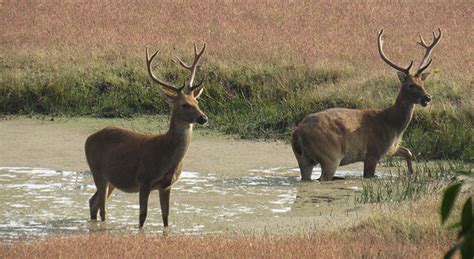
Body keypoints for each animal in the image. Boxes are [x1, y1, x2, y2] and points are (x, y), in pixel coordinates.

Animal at [86, 43, 207, 229]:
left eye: (197, 102)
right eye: (184, 105)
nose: (203, 118)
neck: (165, 155)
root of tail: (88, 139)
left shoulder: (166, 185)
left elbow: (166, 217)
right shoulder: (143, 180)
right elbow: (142, 216)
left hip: (112, 178)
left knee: (93, 201)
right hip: (97, 171)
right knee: (102, 208)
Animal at [290, 28, 442, 182]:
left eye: (422, 83)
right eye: (411, 85)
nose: (427, 97)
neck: (392, 126)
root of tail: (297, 133)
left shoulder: (390, 149)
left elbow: (408, 152)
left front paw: (411, 174)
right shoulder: (372, 152)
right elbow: (370, 175)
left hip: (303, 158)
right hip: (330, 155)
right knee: (323, 177)